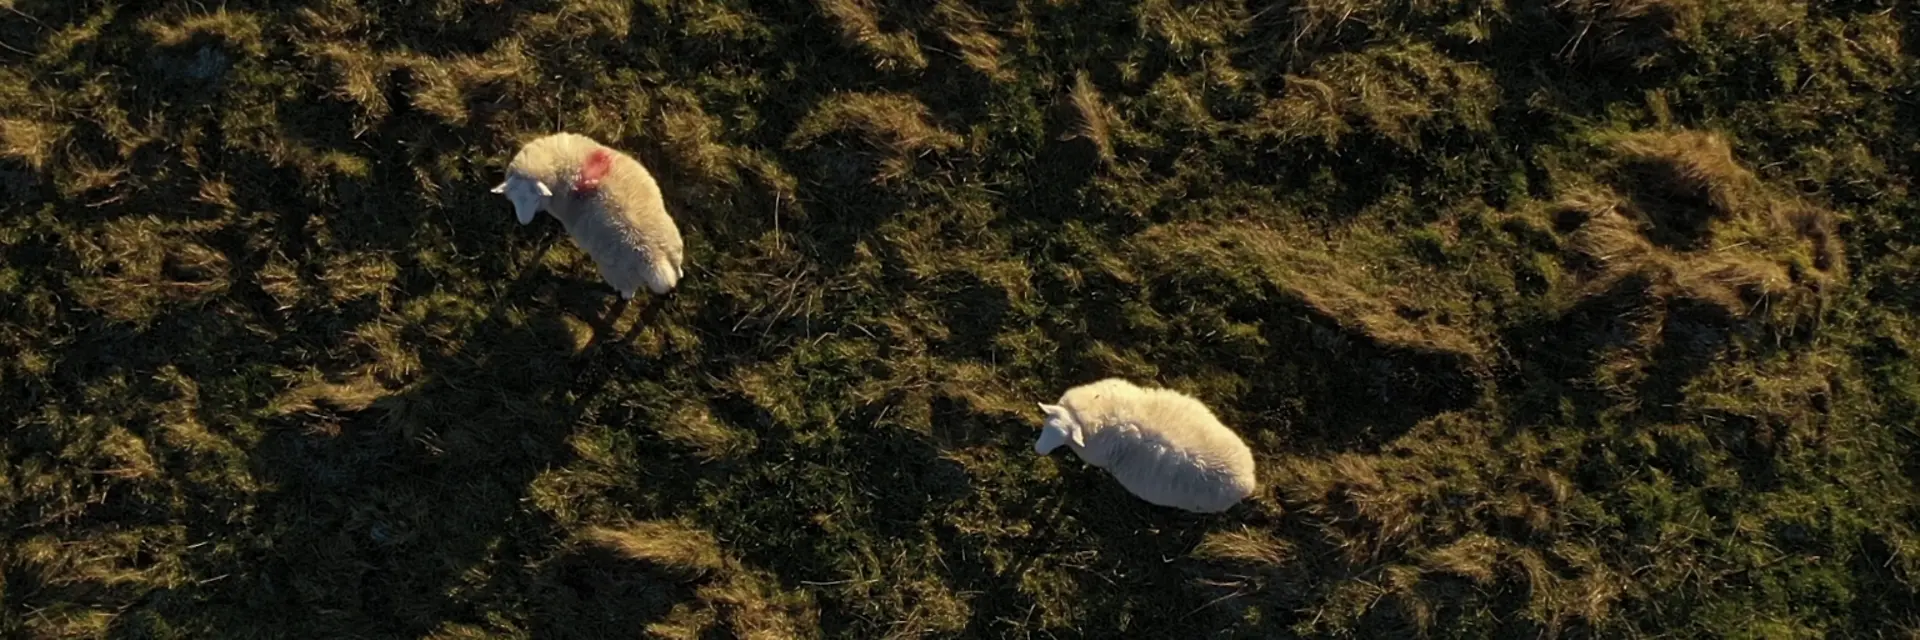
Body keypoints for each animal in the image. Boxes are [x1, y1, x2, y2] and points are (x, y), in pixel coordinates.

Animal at [492, 132, 686, 298]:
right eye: (514, 197)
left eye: (535, 197)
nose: (524, 222)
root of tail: (654, 259)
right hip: (673, 246)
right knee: (678, 270)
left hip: (619, 274)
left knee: (627, 292)